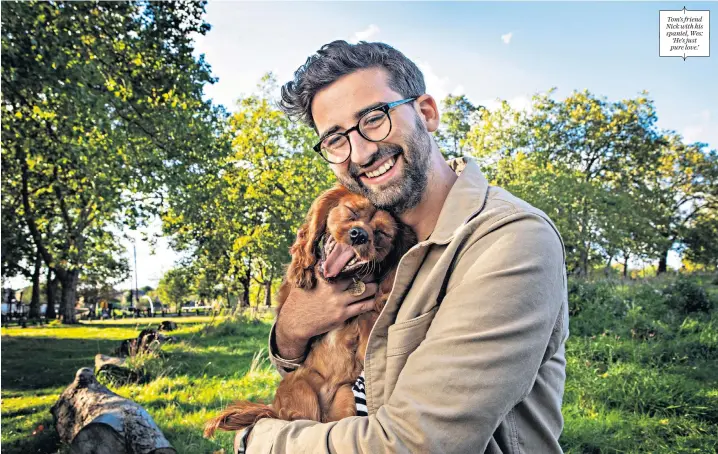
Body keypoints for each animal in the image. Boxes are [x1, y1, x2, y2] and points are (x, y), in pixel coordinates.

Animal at [204, 184, 416, 436]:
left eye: (381, 233)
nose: (360, 234)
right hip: (299, 387)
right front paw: (302, 267)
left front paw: (381, 300)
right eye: (352, 212)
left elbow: (369, 323)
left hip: (345, 395)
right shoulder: (287, 296)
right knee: (297, 418)